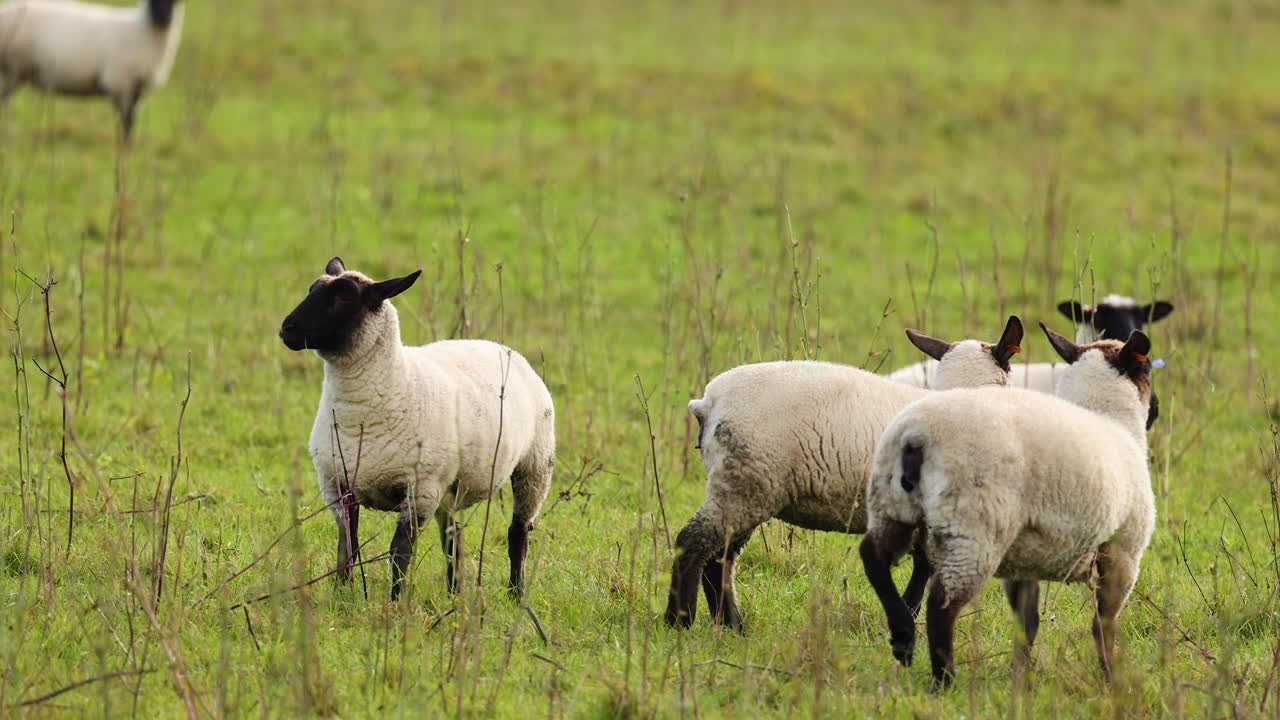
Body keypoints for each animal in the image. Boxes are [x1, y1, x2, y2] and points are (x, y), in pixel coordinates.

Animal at [0, 0, 185, 141]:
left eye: (177, 1)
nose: (163, 18)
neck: (142, 29)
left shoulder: (136, 86)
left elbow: (130, 119)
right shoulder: (120, 82)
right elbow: (126, 120)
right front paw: (124, 149)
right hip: (11, 69)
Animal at [279, 257, 556, 601]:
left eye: (344, 297)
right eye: (311, 289)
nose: (287, 329)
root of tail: (501, 347)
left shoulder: (419, 489)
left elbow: (399, 552)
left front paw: (395, 603)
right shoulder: (337, 486)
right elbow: (347, 546)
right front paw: (341, 596)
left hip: (535, 465)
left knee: (518, 533)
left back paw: (516, 595)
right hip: (449, 487)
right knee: (454, 537)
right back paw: (454, 594)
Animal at [664, 316, 1025, 631]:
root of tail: (709, 401)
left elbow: (923, 565)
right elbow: (926, 569)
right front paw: (908, 617)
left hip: (746, 483)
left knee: (720, 558)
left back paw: (732, 625)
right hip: (747, 482)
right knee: (693, 542)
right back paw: (679, 621)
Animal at [860, 323, 1155, 688]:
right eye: (1147, 368)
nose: (1156, 411)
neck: (1110, 418)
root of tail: (916, 437)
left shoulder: (1024, 559)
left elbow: (1027, 623)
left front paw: (1021, 678)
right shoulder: (1124, 551)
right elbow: (1104, 624)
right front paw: (1112, 681)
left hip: (891, 506)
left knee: (873, 557)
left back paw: (903, 638)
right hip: (975, 529)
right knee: (941, 603)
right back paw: (944, 680)